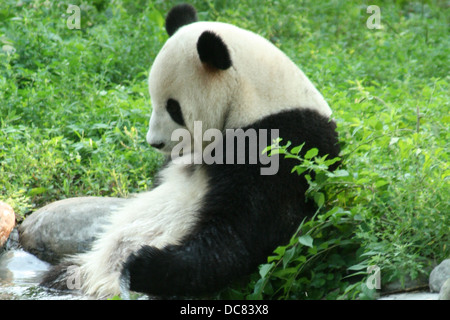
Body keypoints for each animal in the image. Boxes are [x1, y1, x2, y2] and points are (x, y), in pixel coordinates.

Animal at [42, 3, 340, 298]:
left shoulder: (283, 145)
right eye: (153, 101)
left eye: (173, 108)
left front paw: (144, 265)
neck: (254, 100)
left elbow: (245, 228)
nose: (155, 143)